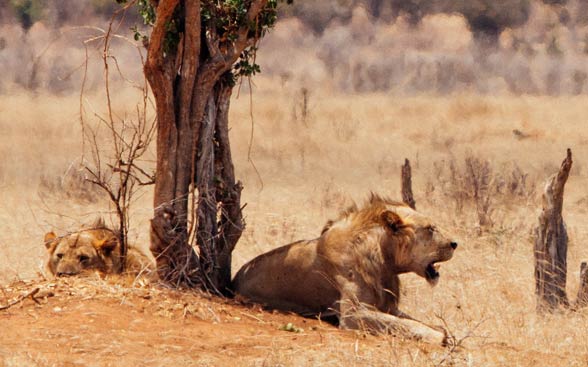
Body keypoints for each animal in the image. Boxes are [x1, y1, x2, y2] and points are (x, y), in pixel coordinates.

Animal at [234, 196, 460, 344]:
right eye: (430, 228)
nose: (455, 243)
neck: (385, 262)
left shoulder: (387, 306)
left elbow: (406, 320)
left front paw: (441, 330)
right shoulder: (353, 314)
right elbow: (400, 324)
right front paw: (439, 336)